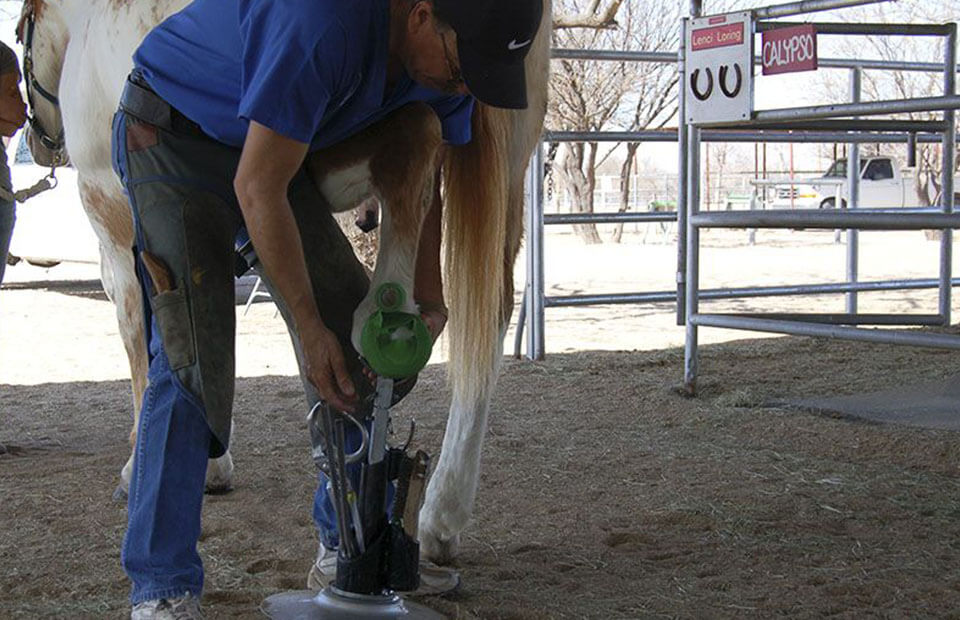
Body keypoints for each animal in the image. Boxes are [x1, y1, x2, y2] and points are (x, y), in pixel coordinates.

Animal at [20, 0, 548, 564]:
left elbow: (145, 343)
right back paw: (440, 515)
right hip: (498, 168)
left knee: (412, 140)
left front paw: (152, 467)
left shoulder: (112, 214)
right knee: (483, 304)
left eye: (21, 33)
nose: (34, 142)